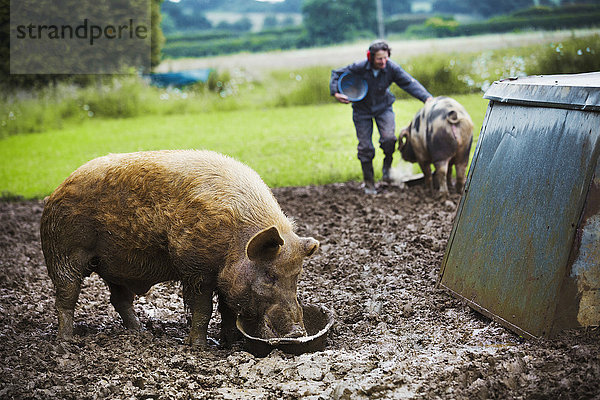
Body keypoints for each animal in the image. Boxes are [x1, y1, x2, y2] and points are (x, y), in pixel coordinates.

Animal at [41, 148, 318, 346]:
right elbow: (203, 308)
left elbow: (228, 309)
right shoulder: (195, 268)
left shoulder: (224, 279)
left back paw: (141, 333)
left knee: (118, 300)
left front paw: (230, 342)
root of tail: (55, 191)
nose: (297, 332)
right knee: (65, 298)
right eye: (270, 275)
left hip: (114, 267)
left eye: (297, 276)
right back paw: (66, 342)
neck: (235, 240)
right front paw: (198, 346)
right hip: (63, 252)